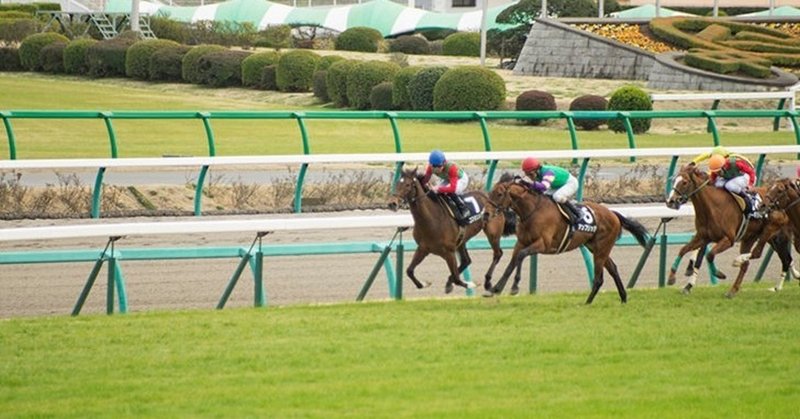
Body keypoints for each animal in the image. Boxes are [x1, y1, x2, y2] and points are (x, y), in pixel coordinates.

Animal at [390, 168, 520, 296]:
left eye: (407, 185)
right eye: (396, 183)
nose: (392, 203)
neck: (432, 219)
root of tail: (492, 199)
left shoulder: (449, 252)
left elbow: (457, 279)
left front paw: (471, 284)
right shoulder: (423, 248)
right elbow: (409, 271)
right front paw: (424, 283)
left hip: (492, 233)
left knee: (497, 254)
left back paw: (487, 282)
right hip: (462, 240)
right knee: (466, 260)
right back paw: (450, 282)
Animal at [482, 178, 648, 306]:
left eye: (499, 194)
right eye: (490, 193)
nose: (486, 214)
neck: (532, 211)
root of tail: (613, 214)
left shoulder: (543, 244)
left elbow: (521, 256)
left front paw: (514, 287)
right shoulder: (521, 242)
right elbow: (513, 262)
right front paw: (495, 288)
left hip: (602, 248)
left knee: (599, 278)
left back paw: (587, 302)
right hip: (595, 247)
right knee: (613, 268)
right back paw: (623, 298)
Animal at [664, 164, 792, 298]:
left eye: (684, 182)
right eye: (674, 180)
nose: (670, 201)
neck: (712, 207)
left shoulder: (728, 239)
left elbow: (710, 255)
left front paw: (718, 273)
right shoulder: (702, 237)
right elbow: (683, 250)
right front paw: (672, 277)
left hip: (773, 234)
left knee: (769, 256)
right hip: (752, 238)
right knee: (750, 264)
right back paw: (733, 290)